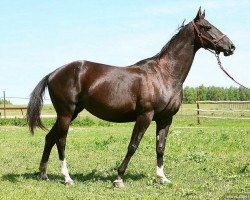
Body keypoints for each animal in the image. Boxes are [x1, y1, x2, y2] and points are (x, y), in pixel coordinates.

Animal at [26, 7, 235, 188]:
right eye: (207, 27)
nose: (231, 46)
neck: (165, 74)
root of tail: (53, 73)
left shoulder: (165, 119)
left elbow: (160, 147)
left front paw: (162, 177)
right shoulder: (145, 116)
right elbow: (133, 145)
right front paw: (119, 178)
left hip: (71, 113)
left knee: (50, 138)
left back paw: (43, 174)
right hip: (66, 113)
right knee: (61, 141)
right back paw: (67, 178)